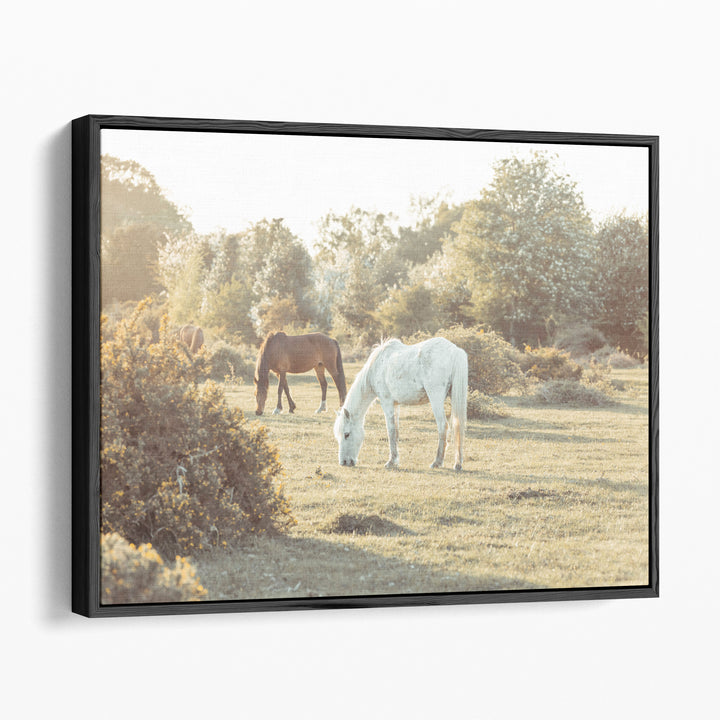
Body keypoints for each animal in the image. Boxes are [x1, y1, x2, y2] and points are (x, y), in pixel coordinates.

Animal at [334, 338, 470, 472]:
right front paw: (395, 460)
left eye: (347, 434)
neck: (377, 367)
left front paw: (390, 462)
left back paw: (437, 462)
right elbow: (396, 431)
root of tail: (455, 350)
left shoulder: (387, 402)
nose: (343, 462)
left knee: (443, 426)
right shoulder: (395, 405)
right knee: (458, 425)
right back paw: (458, 464)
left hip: (435, 398)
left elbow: (391, 431)